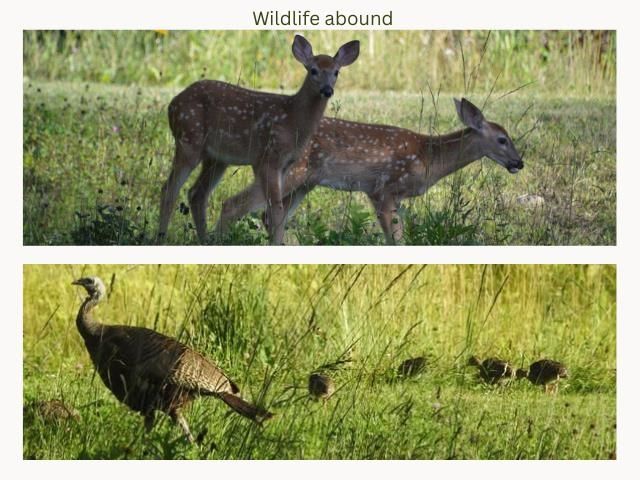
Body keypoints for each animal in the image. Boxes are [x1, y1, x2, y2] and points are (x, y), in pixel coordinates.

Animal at [157, 35, 360, 244]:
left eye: (336, 72)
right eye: (313, 70)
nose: (327, 90)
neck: (292, 119)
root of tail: (172, 105)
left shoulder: (284, 165)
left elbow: (275, 209)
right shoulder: (268, 157)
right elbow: (276, 208)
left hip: (216, 158)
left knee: (197, 194)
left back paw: (205, 240)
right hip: (189, 139)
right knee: (169, 190)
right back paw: (160, 238)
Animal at [216, 98, 524, 244]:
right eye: (502, 139)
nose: (519, 163)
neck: (428, 156)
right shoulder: (384, 188)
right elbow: (396, 240)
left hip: (304, 183)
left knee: (271, 216)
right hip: (287, 173)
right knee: (233, 204)